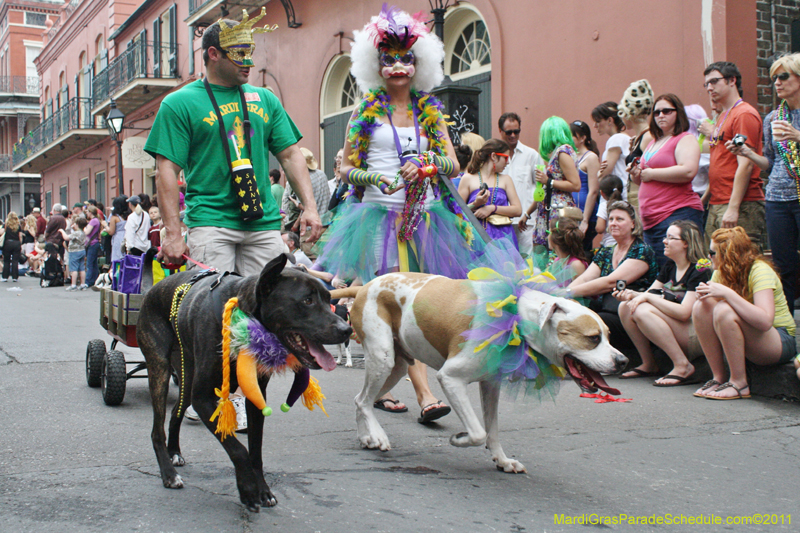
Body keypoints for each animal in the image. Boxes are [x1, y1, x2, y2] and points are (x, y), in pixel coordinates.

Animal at [332, 272, 624, 472]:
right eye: (593, 338)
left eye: (610, 336)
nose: (622, 361)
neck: (515, 319)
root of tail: (366, 285)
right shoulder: (451, 379)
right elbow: (477, 432)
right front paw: (458, 439)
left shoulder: (491, 385)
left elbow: (492, 430)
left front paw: (502, 460)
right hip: (383, 358)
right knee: (365, 401)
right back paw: (378, 436)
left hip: (397, 365)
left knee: (361, 400)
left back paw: (367, 437)